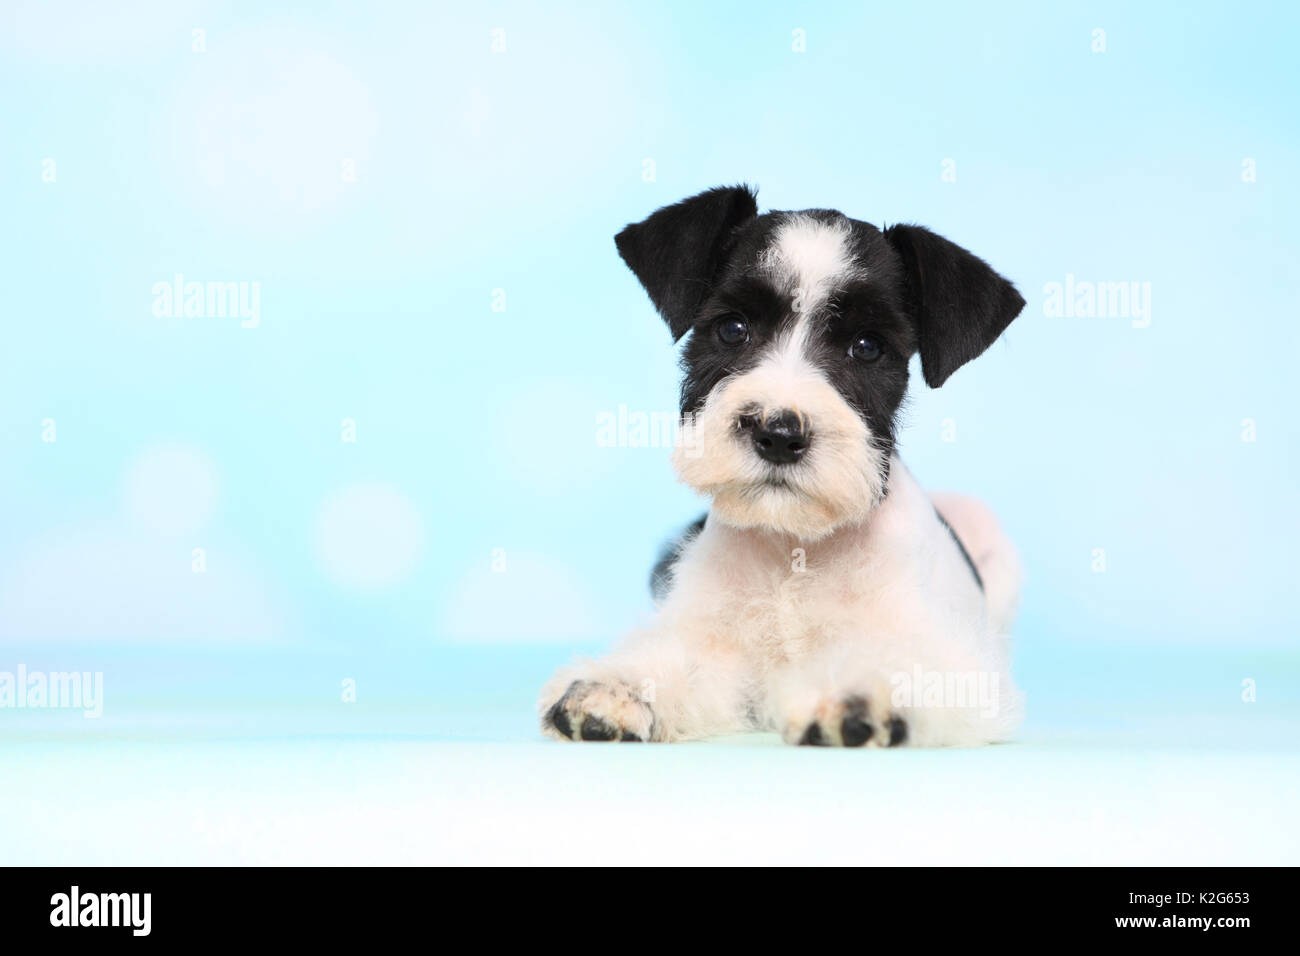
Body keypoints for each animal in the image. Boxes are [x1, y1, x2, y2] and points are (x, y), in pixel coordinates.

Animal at [538, 187, 1024, 749]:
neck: (794, 546)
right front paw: (616, 689)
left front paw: (859, 694)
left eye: (867, 347)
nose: (778, 433)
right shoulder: (716, 647)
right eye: (732, 328)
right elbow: (680, 659)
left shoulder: (954, 661)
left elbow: (904, 664)